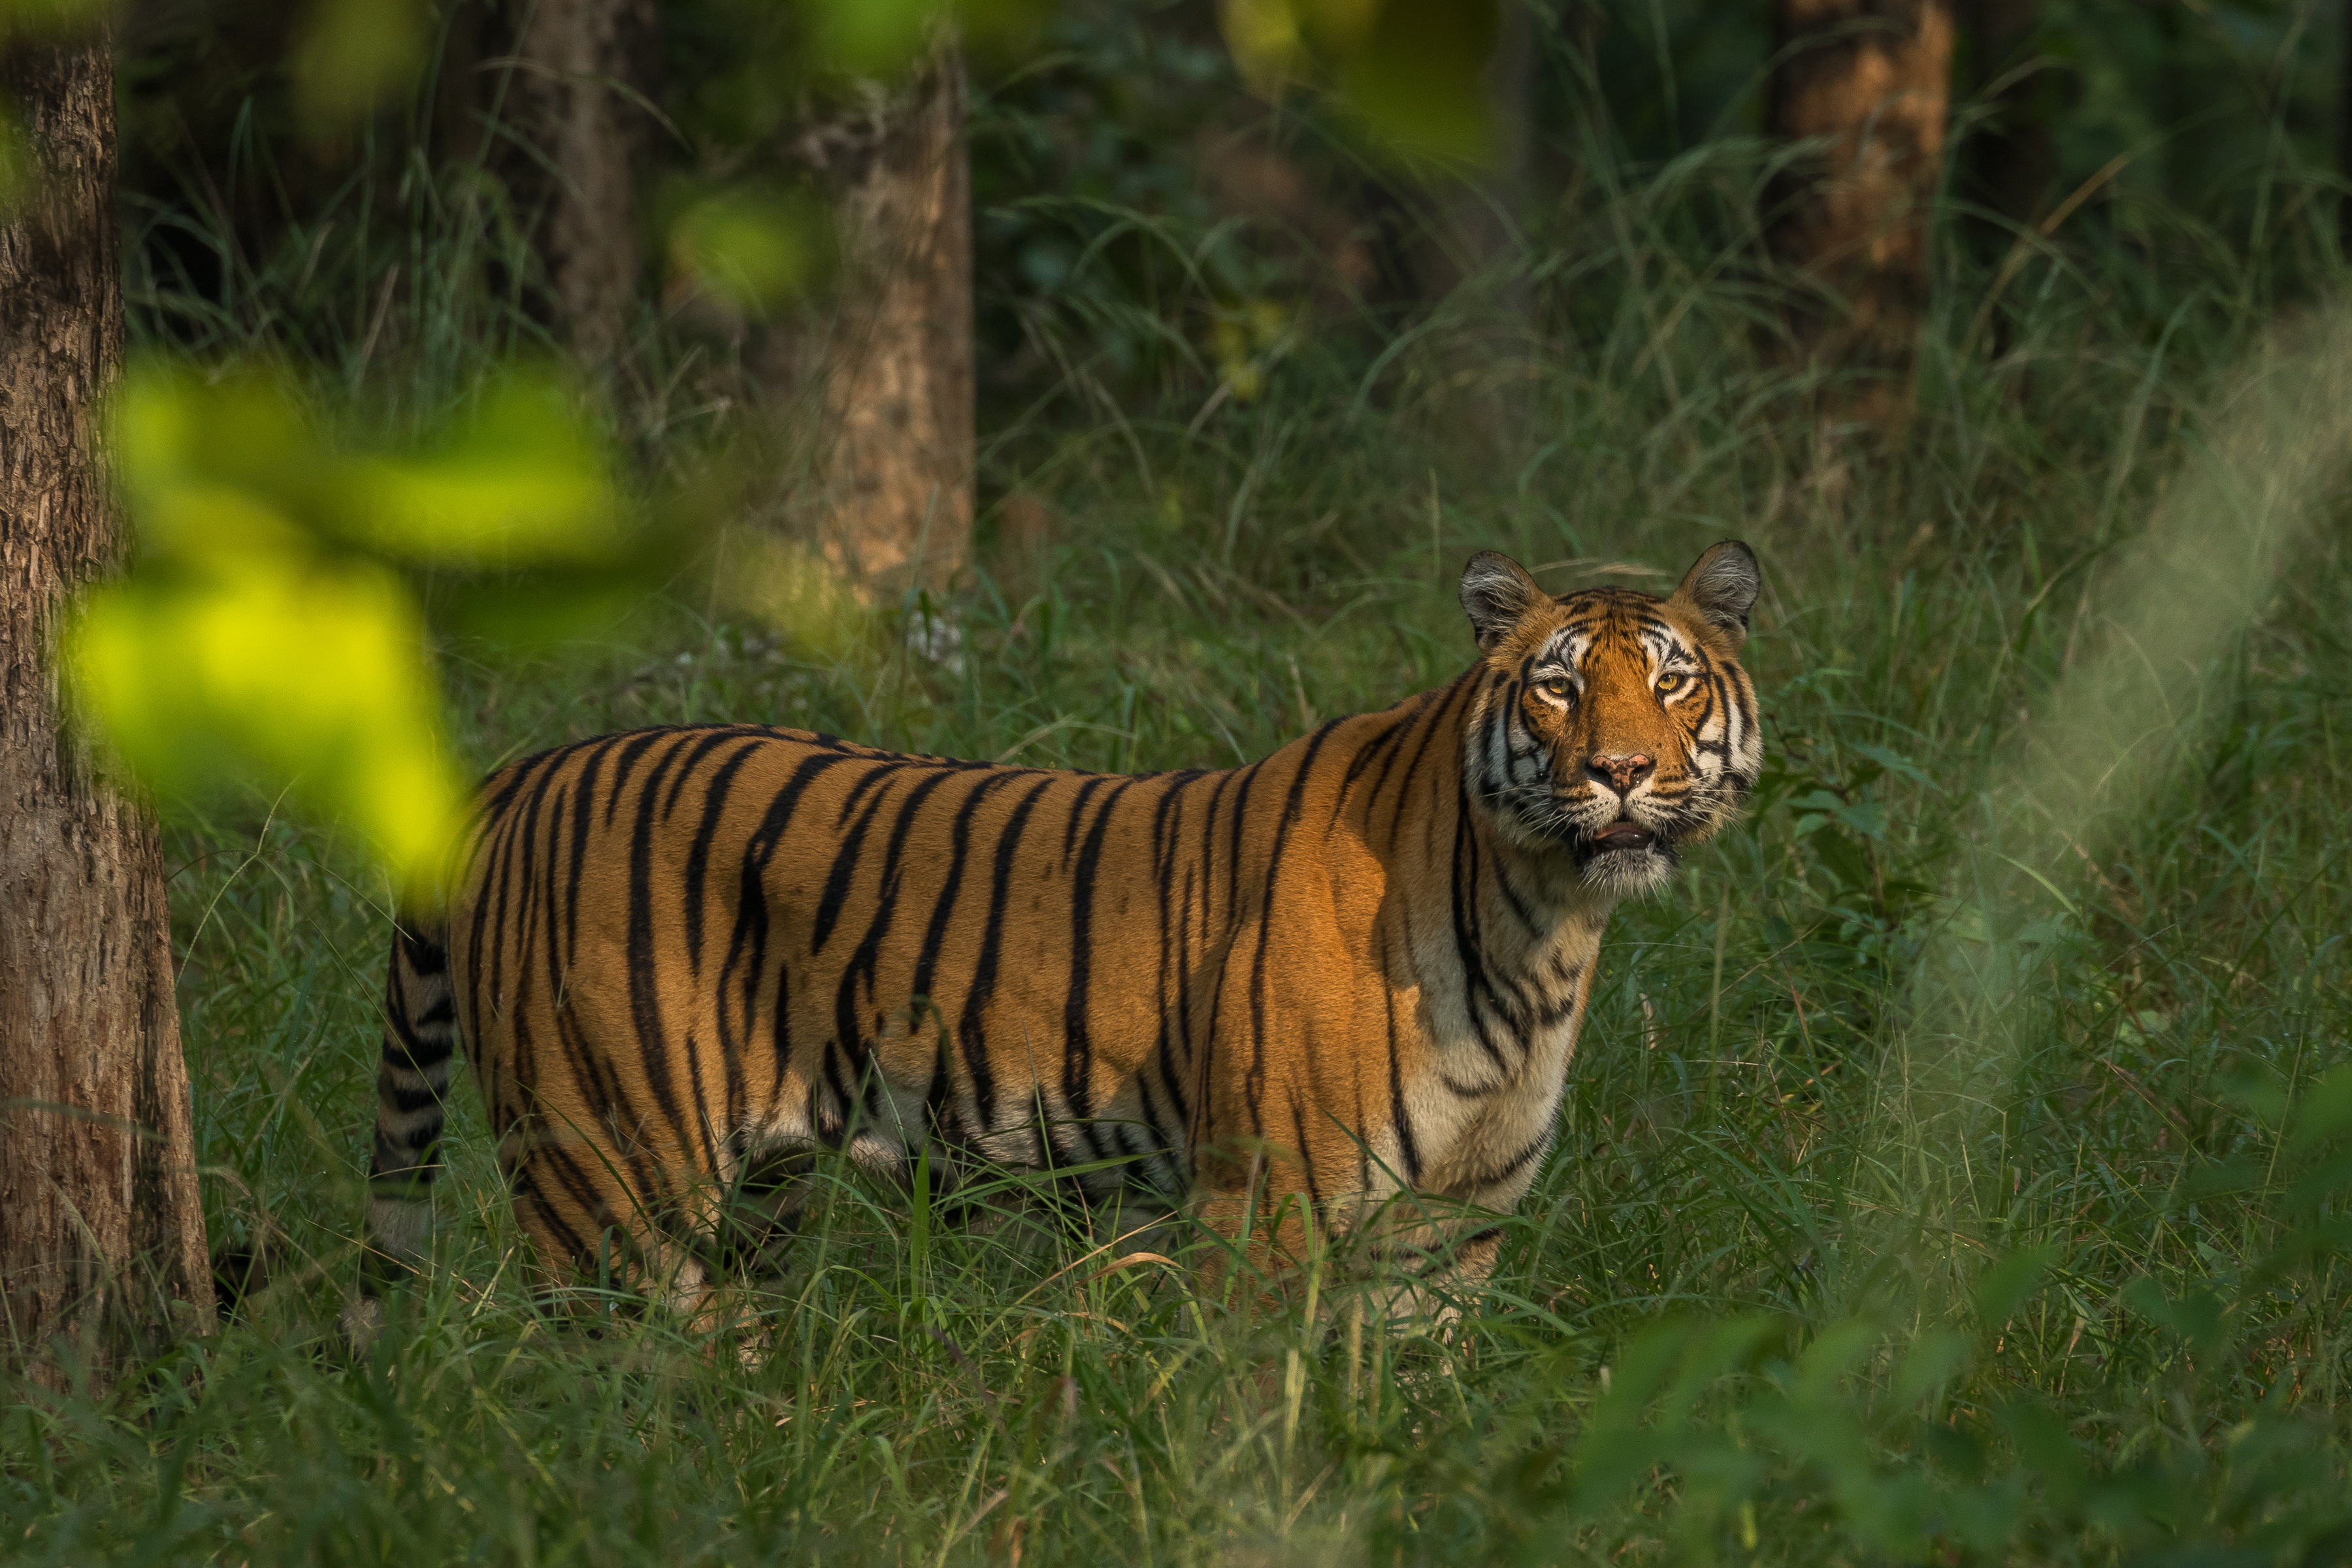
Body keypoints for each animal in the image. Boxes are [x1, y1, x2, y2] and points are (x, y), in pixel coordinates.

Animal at [354, 542, 1762, 1327]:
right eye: (1560, 688)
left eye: (1672, 681)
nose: (1625, 772)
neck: (1542, 929)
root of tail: (526, 771)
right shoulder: (1268, 1209)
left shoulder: (1450, 1236)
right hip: (608, 1181)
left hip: (752, 1204)